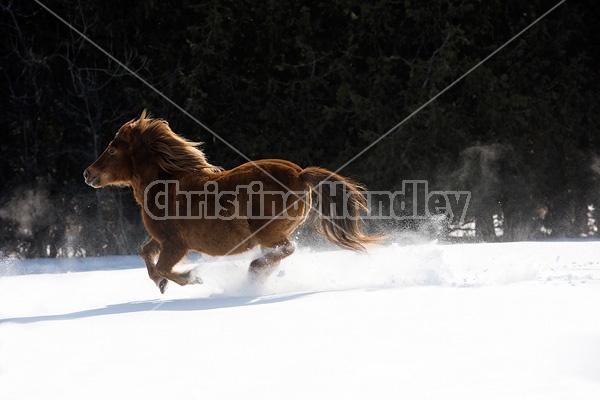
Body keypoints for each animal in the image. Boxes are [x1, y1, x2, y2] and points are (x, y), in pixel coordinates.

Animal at [84, 111, 380, 292]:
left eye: (113, 149)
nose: (88, 173)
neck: (166, 185)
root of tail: (299, 173)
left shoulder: (176, 244)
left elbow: (164, 267)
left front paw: (192, 278)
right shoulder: (161, 240)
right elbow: (146, 254)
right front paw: (160, 284)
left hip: (268, 233)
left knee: (286, 249)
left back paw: (252, 272)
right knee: (280, 254)